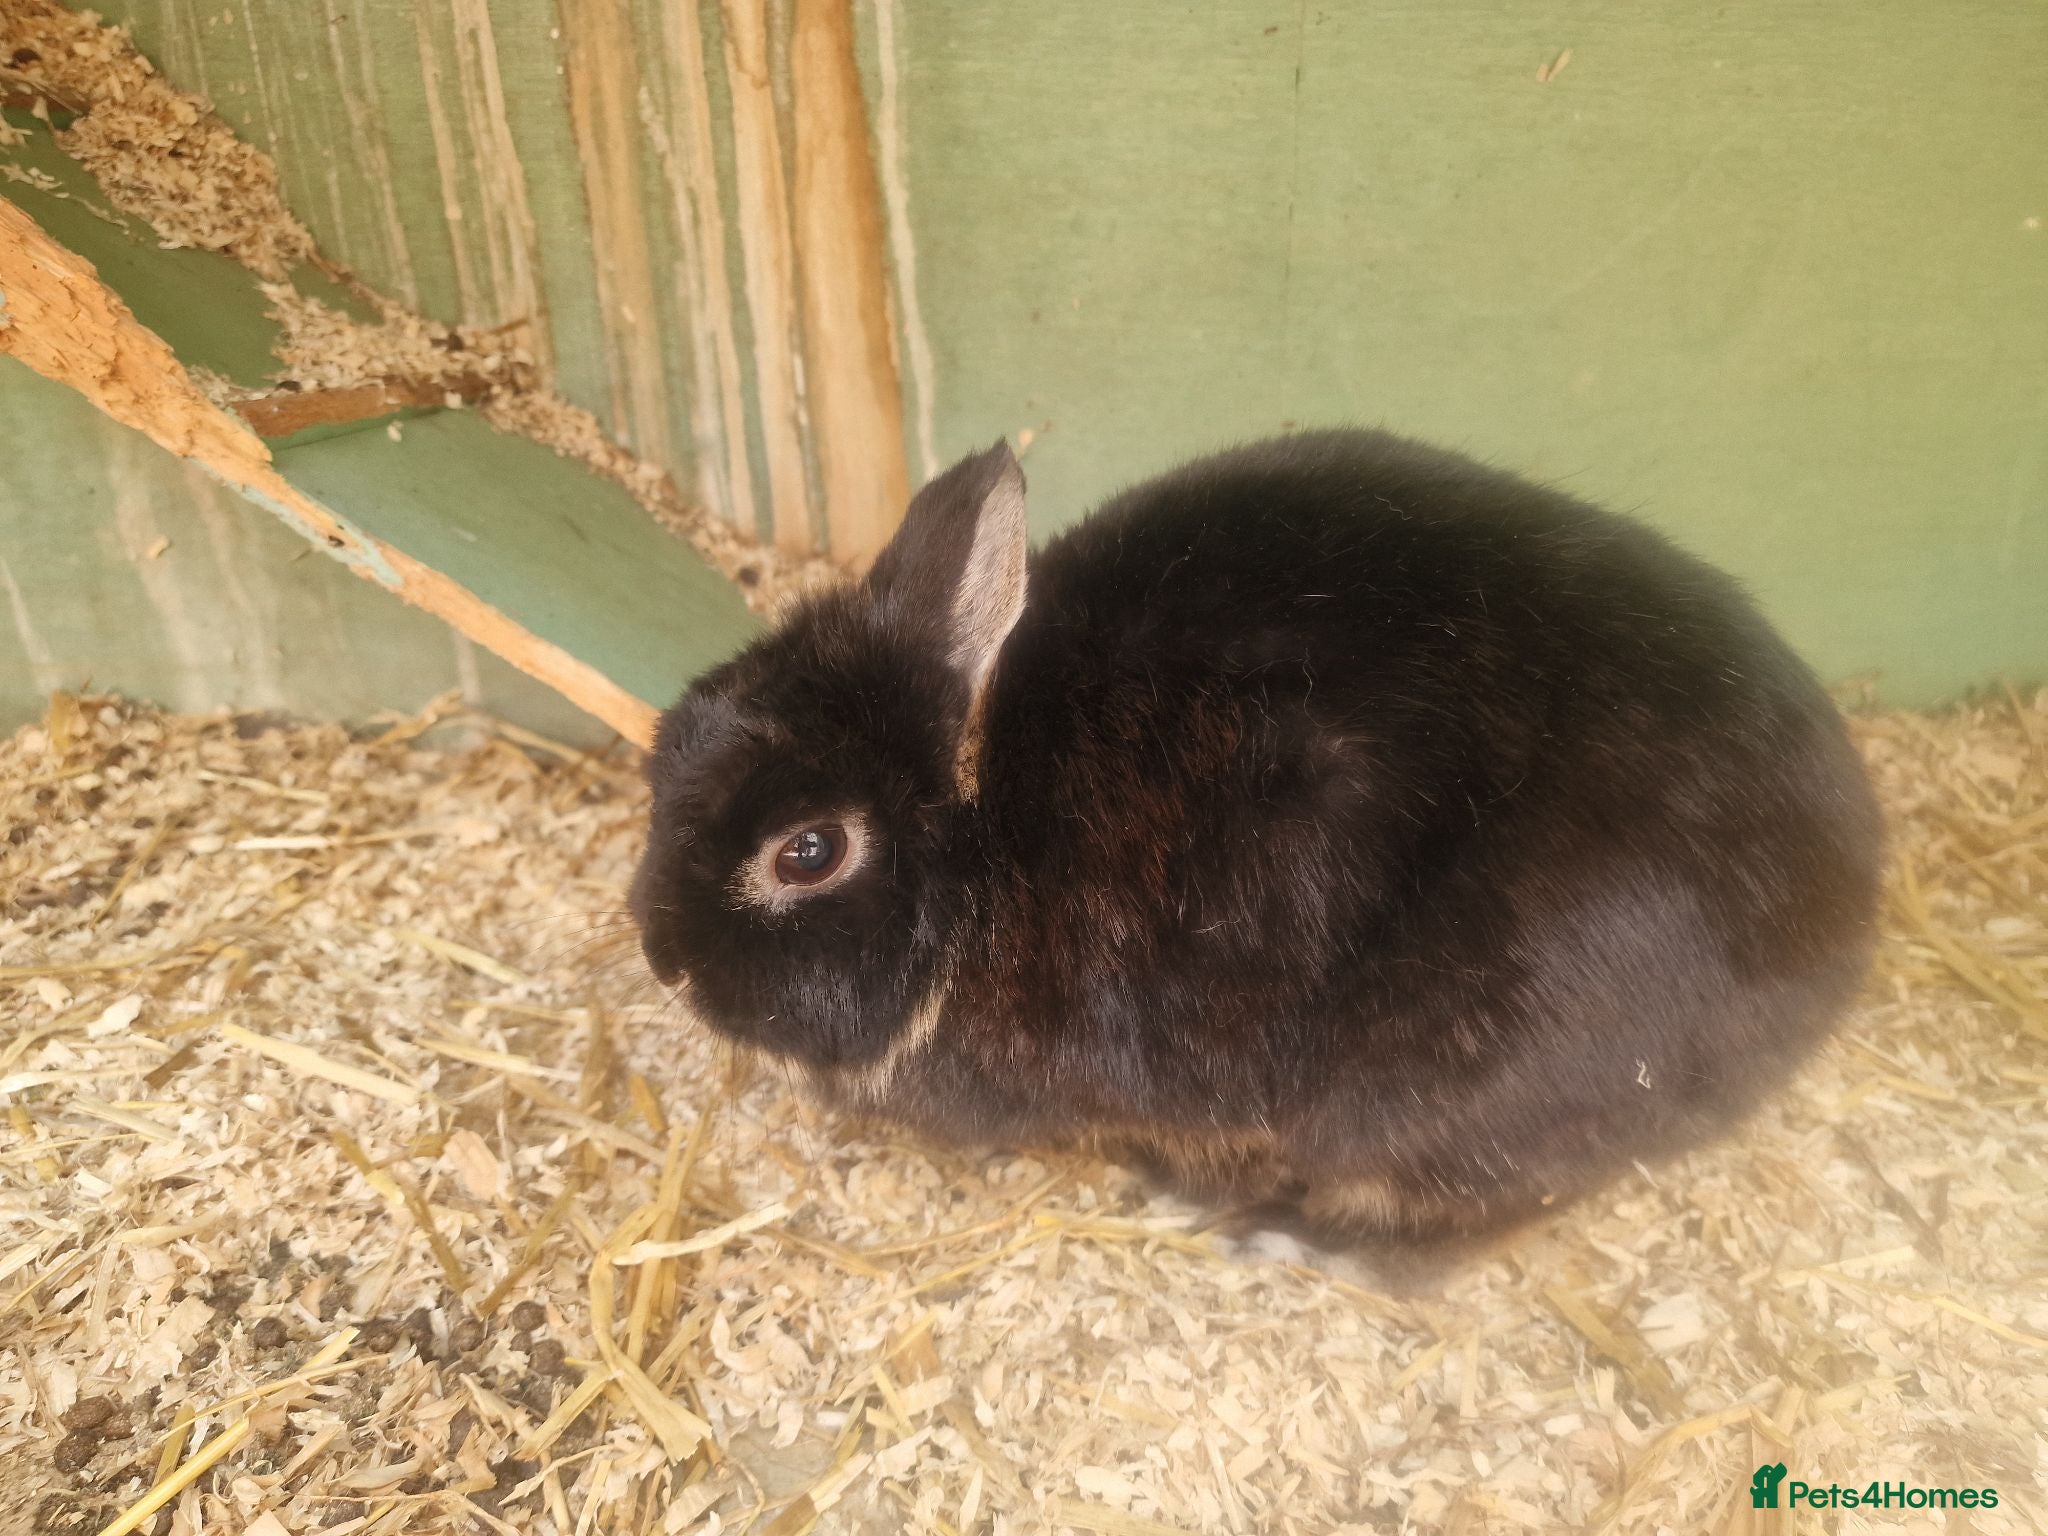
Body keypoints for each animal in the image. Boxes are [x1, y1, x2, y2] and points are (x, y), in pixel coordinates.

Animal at [629, 429, 1883, 1275]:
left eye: (809, 851)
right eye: (674, 733)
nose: (662, 959)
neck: (985, 838)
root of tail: (1842, 927)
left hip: (1452, 1095)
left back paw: (1294, 1241)